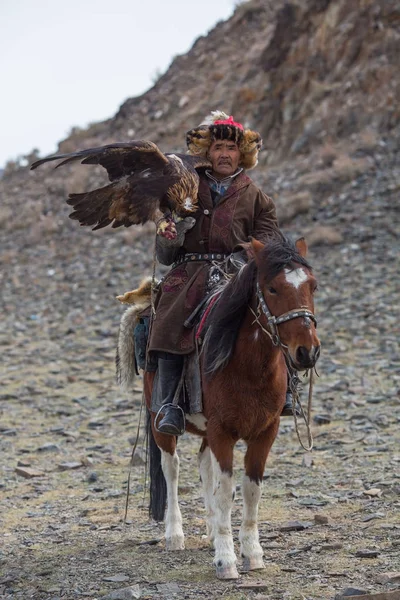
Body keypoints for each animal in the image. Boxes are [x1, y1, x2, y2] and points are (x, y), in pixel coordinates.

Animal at [142, 236, 320, 580]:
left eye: (313, 286)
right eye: (272, 288)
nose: (307, 352)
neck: (249, 366)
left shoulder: (265, 433)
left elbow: (250, 489)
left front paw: (252, 552)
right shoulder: (222, 431)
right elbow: (225, 490)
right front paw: (226, 559)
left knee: (203, 464)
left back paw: (212, 530)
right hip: (160, 421)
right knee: (172, 468)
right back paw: (175, 534)